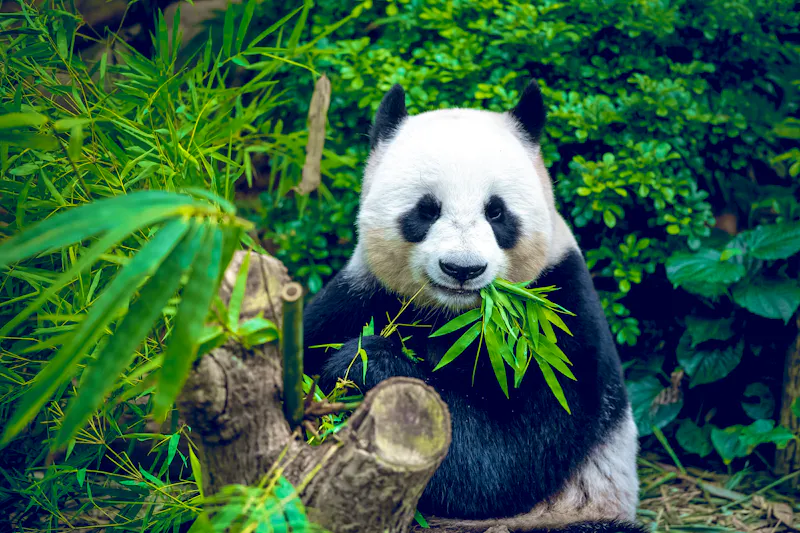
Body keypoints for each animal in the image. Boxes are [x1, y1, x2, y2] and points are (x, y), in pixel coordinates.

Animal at [302, 79, 644, 533]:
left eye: (496, 212)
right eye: (426, 210)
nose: (462, 268)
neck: (455, 314)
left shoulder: (556, 323)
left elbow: (504, 458)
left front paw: (365, 360)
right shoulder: (363, 293)